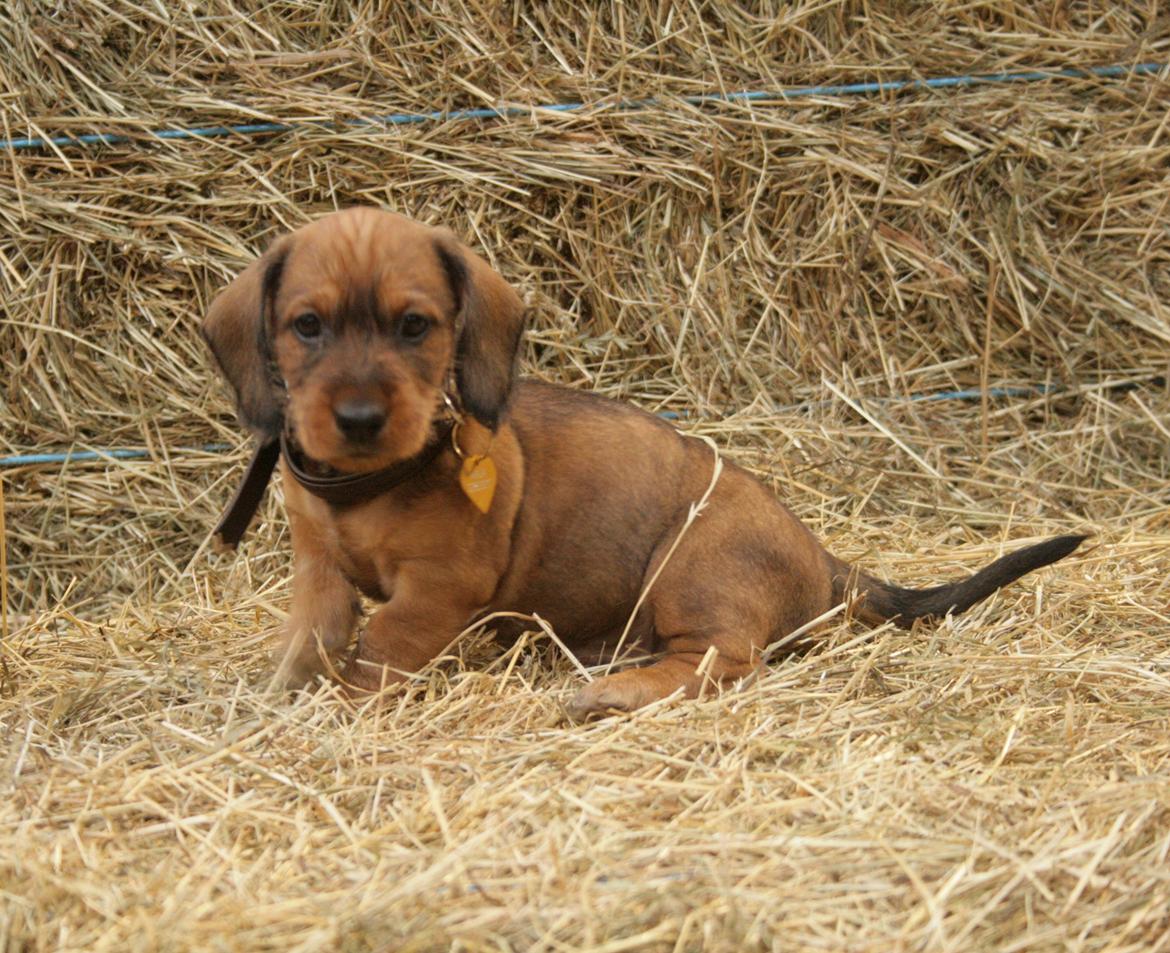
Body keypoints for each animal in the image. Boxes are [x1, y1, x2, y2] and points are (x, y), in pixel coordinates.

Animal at [203, 206, 1085, 715]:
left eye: (414, 325)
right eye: (307, 325)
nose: (357, 419)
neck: (364, 487)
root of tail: (825, 559)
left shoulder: (437, 589)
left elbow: (378, 650)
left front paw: (341, 705)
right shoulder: (318, 571)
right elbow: (310, 640)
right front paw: (278, 698)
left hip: (690, 568)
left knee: (722, 662)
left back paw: (613, 690)